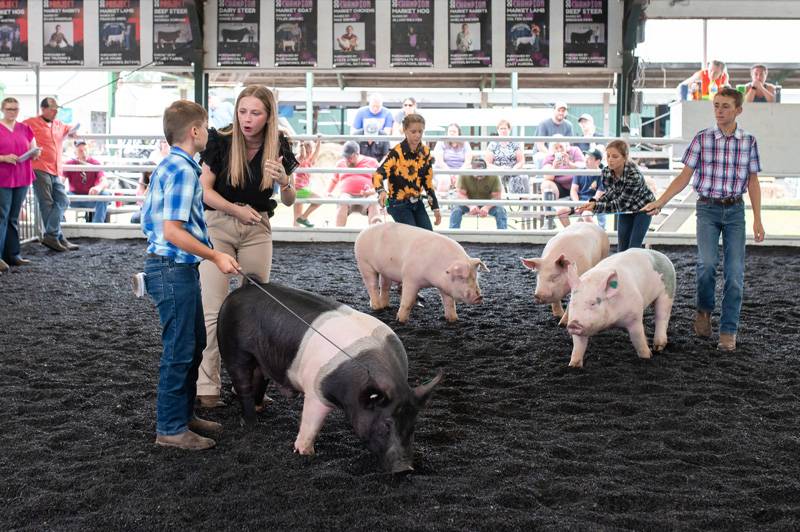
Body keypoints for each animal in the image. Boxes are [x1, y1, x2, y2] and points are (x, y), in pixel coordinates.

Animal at [356, 221, 488, 322]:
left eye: (475, 277)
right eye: (461, 277)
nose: (480, 296)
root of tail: (364, 231)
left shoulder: (445, 286)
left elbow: (449, 303)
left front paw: (453, 320)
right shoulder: (410, 278)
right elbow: (407, 301)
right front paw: (400, 320)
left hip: (385, 271)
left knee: (384, 286)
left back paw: (386, 306)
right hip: (364, 263)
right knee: (371, 285)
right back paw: (377, 307)